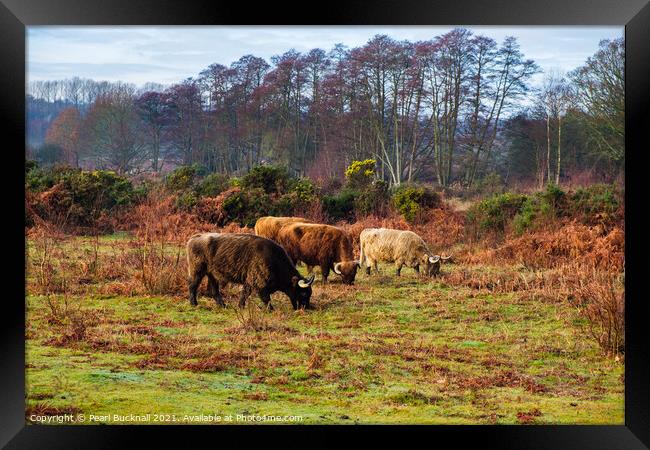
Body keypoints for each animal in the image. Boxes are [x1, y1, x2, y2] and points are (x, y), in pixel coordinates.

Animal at [185, 232, 314, 310]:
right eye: (303, 293)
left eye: (310, 293)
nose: (307, 308)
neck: (274, 260)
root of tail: (194, 237)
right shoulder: (259, 284)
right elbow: (266, 299)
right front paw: (271, 309)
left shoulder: (249, 282)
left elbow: (244, 294)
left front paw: (240, 306)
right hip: (197, 271)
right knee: (192, 286)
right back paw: (194, 303)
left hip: (212, 275)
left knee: (214, 291)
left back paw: (223, 305)